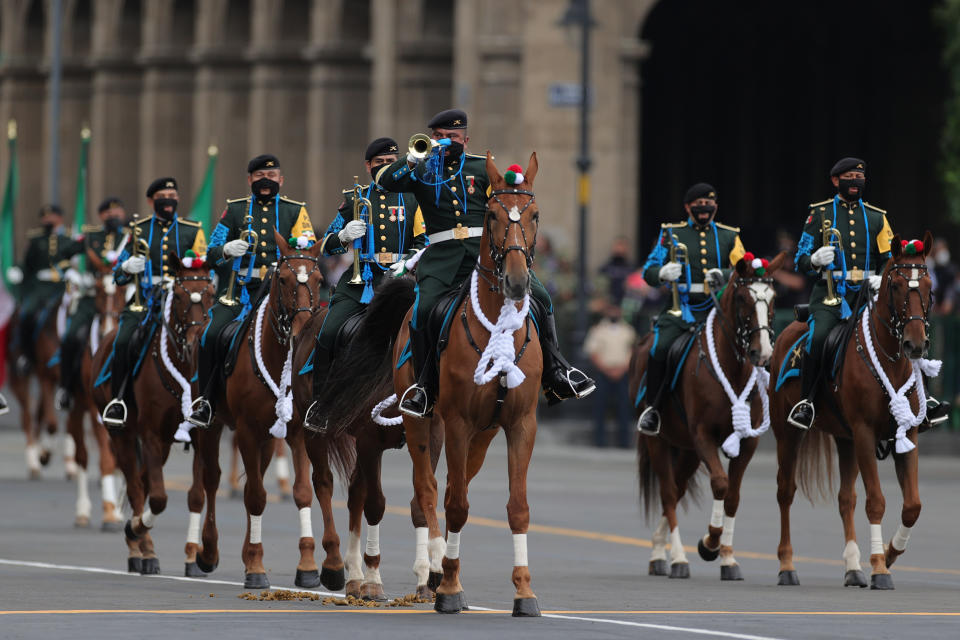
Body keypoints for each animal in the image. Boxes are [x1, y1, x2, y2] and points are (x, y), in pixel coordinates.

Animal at [90, 256, 216, 576]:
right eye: (180, 295)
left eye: (211, 293)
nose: (195, 341)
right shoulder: (149, 436)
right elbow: (158, 498)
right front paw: (138, 532)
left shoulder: (197, 437)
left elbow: (195, 496)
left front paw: (192, 558)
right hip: (121, 436)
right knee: (137, 487)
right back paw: (141, 551)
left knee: (143, 481)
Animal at [188, 229, 342, 592]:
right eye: (283, 278)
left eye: (318, 278)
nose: (303, 327)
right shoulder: (245, 430)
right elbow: (256, 496)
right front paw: (256, 568)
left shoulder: (295, 432)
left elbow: (300, 492)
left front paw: (307, 566)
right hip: (212, 426)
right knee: (212, 480)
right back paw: (208, 552)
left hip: (269, 439)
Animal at [632, 254, 784, 580]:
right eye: (742, 299)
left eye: (773, 298)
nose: (763, 352)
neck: (732, 369)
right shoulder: (703, 435)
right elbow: (720, 484)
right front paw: (709, 543)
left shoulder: (747, 442)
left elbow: (733, 496)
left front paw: (727, 557)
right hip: (659, 442)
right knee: (668, 493)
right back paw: (676, 558)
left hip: (688, 450)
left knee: (676, 490)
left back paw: (658, 550)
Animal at [768, 234, 932, 592]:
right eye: (896, 285)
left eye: (929, 285)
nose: (915, 345)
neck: (890, 361)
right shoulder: (865, 432)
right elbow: (877, 501)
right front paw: (880, 568)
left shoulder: (906, 434)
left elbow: (912, 506)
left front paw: (890, 554)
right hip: (788, 433)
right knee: (785, 492)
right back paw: (786, 566)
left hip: (845, 440)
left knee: (846, 498)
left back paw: (853, 568)